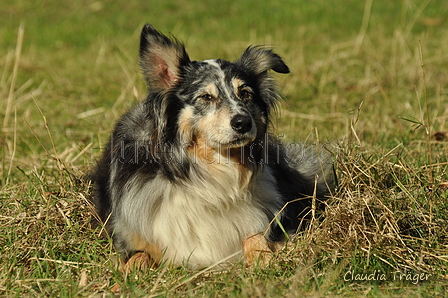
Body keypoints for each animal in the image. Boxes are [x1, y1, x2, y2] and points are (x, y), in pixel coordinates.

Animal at [92, 23, 336, 270]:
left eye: (245, 93)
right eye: (206, 97)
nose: (243, 122)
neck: (212, 172)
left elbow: (256, 237)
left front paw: (264, 258)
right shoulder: (132, 236)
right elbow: (138, 257)